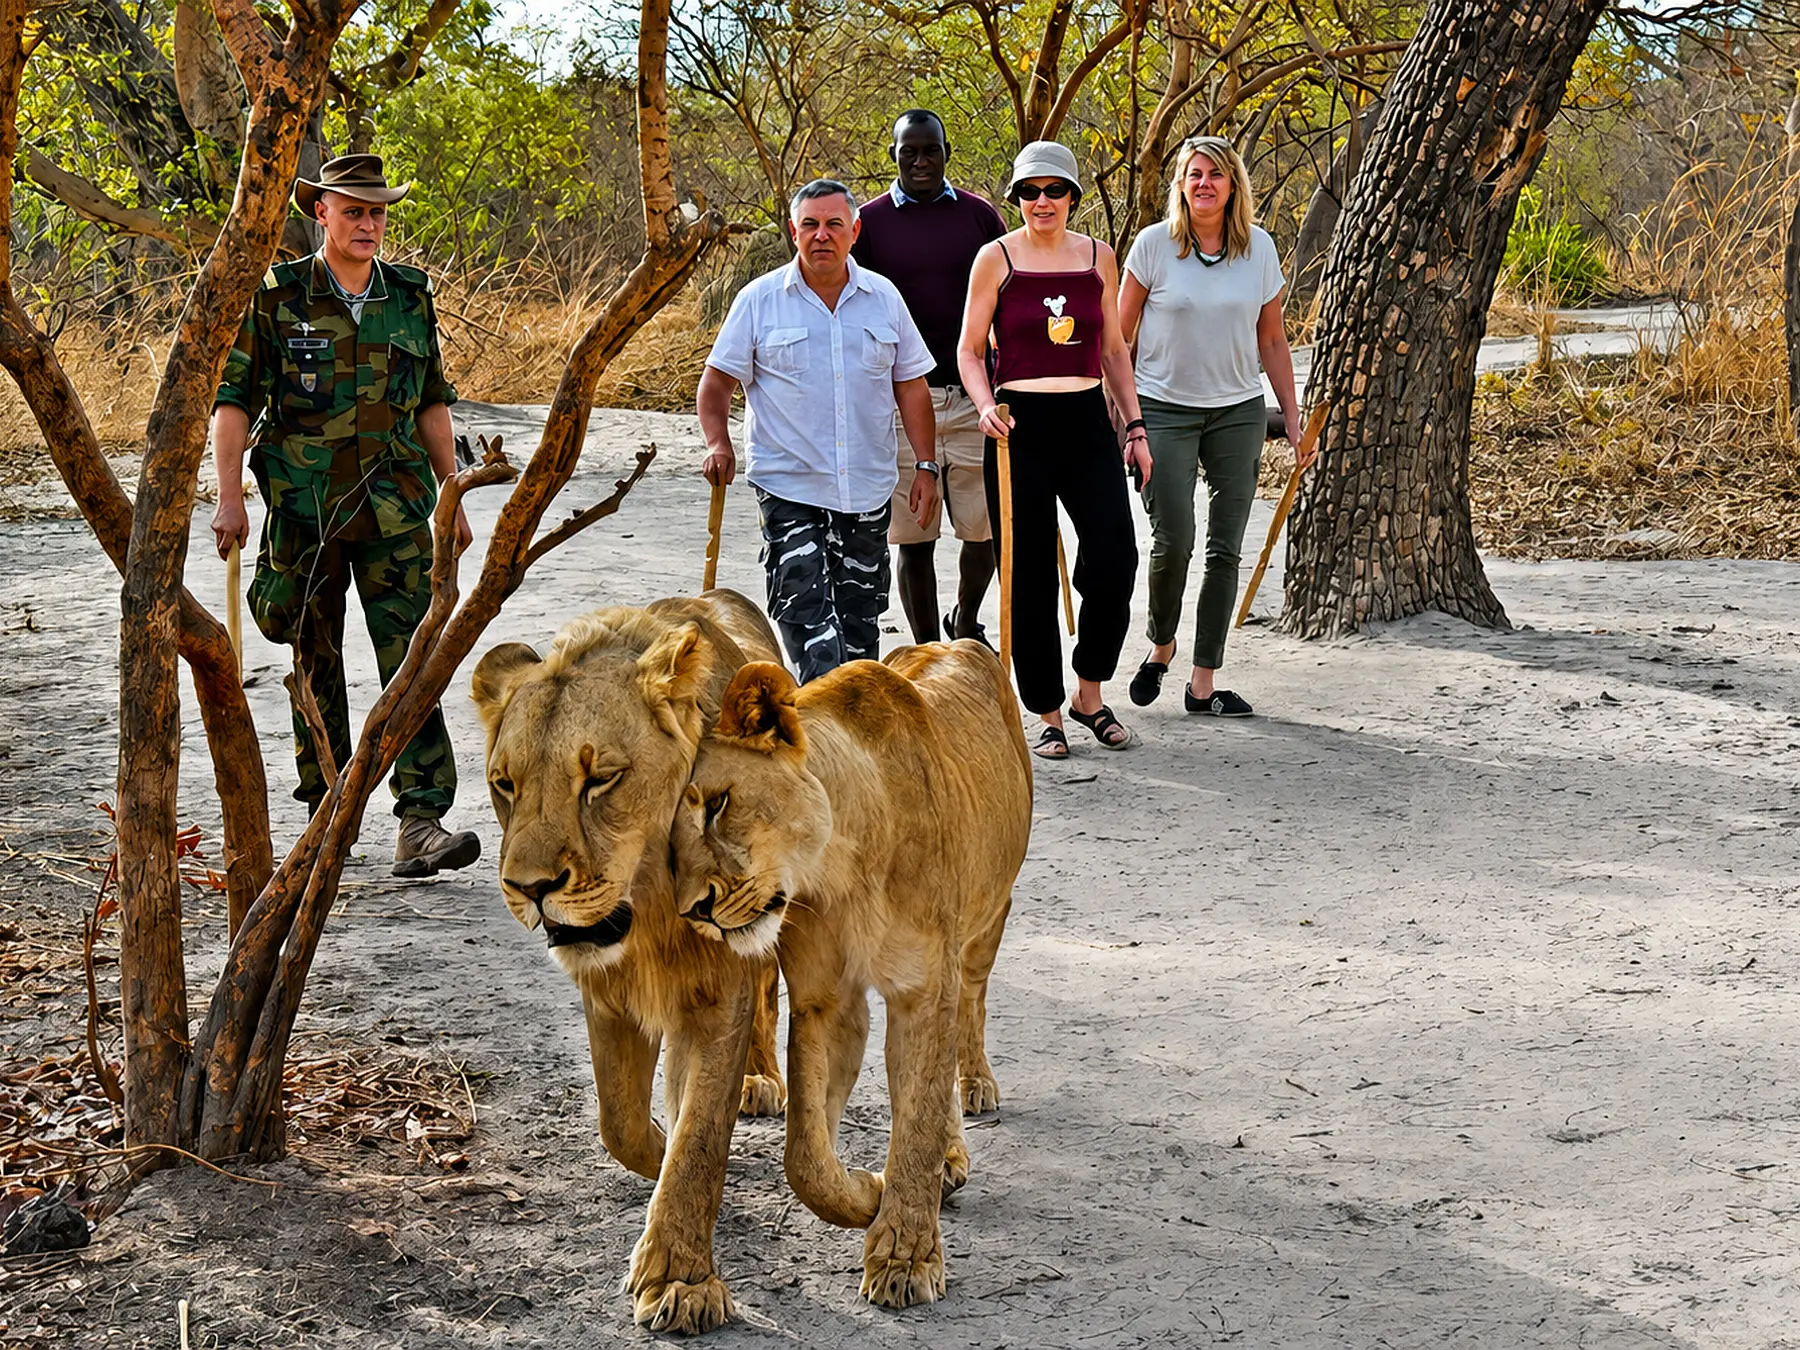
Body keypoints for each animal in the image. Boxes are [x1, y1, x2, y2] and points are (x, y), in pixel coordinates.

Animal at [469, 590, 786, 1335]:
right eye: (504, 784)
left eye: (601, 781)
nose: (529, 887)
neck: (650, 908)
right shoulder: (605, 989)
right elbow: (618, 1121)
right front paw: (656, 1142)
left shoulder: (719, 992)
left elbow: (702, 1134)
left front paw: (681, 1279)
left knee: (769, 993)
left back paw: (760, 1077)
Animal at [668, 640, 1033, 1309]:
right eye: (666, 846)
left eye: (718, 803)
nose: (694, 911)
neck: (838, 868)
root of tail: (953, 641)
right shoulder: (826, 1000)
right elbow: (806, 1156)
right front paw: (868, 1192)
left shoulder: (924, 989)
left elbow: (916, 1117)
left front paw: (905, 1257)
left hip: (988, 917)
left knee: (970, 1007)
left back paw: (973, 1087)